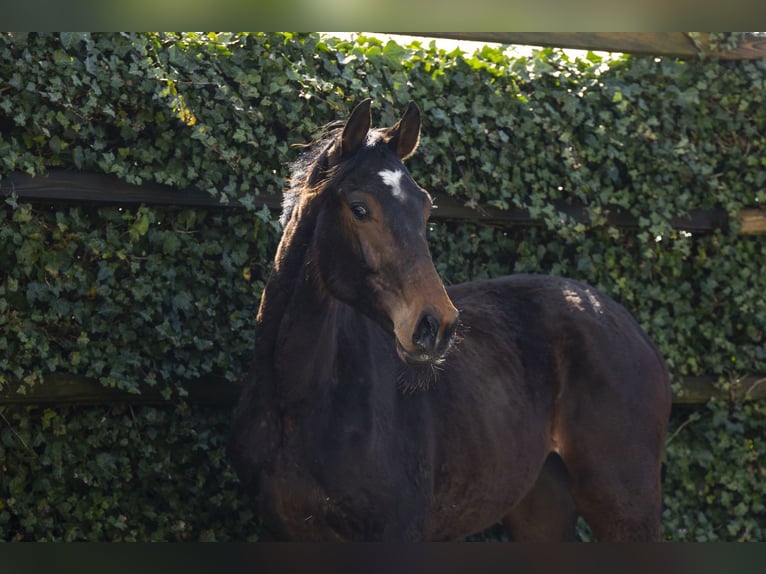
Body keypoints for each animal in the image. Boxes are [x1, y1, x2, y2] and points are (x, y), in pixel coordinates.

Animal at [228, 99, 672, 541]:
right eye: (359, 208)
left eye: (425, 207)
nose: (434, 325)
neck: (297, 399)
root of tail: (628, 325)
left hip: (624, 509)